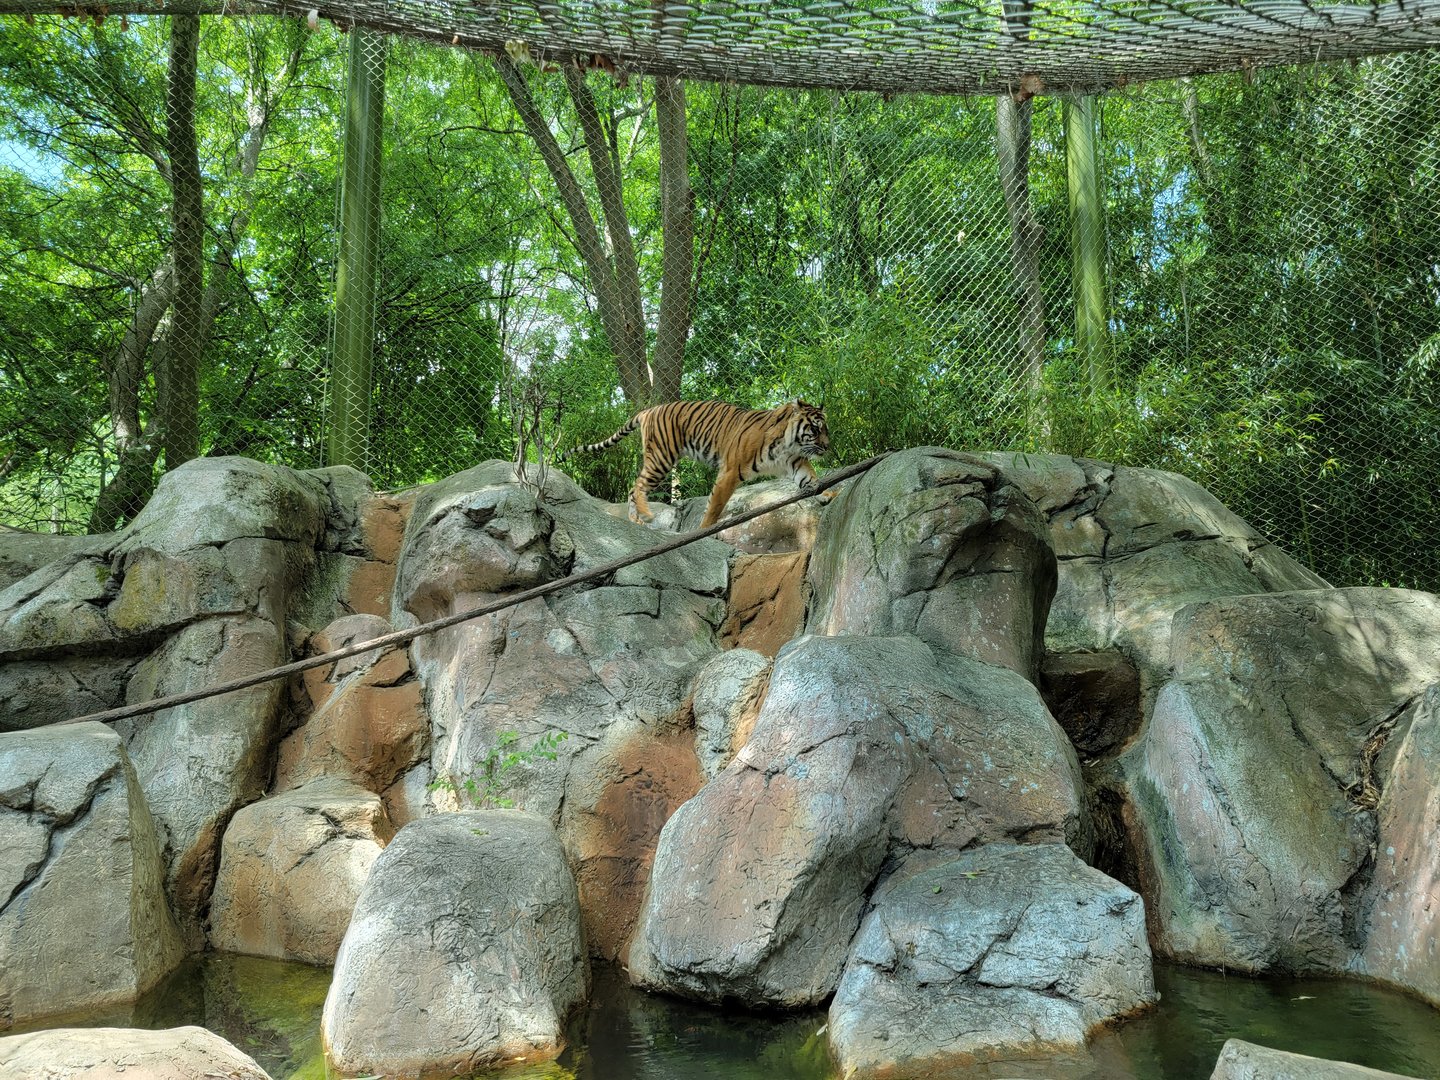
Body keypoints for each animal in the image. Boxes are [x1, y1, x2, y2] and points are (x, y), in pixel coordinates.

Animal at [559, 399, 835, 528]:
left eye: (826, 428)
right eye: (815, 429)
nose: (827, 446)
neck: (789, 443)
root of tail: (649, 410)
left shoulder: (795, 462)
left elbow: (810, 478)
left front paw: (827, 494)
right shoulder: (730, 471)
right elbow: (715, 505)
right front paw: (704, 529)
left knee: (630, 488)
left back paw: (634, 520)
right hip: (661, 458)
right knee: (637, 485)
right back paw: (646, 515)